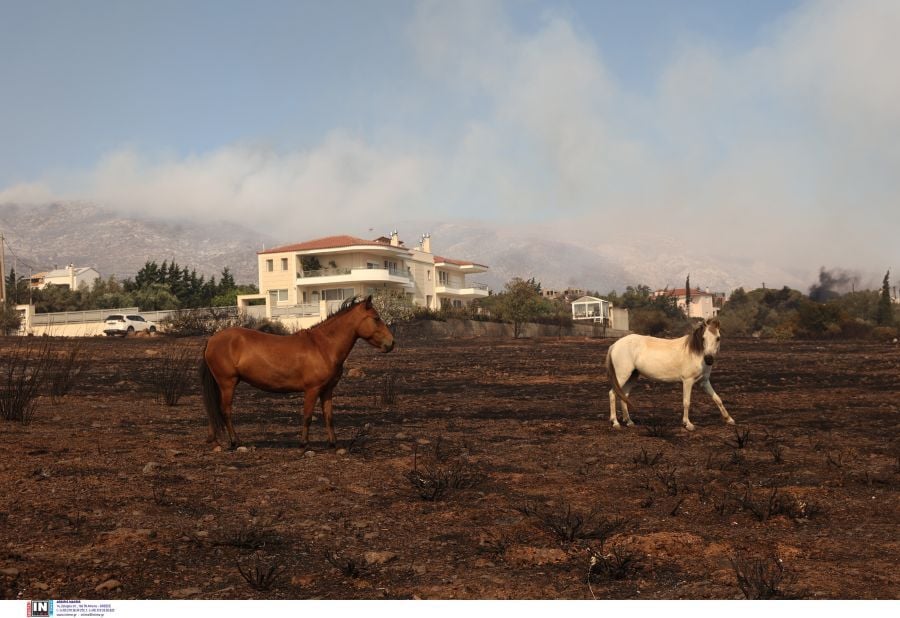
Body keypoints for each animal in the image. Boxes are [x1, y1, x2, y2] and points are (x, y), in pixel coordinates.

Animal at [200, 294, 394, 448]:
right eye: (376, 318)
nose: (391, 343)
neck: (323, 347)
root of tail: (212, 340)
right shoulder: (312, 390)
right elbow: (307, 415)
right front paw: (304, 443)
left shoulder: (327, 390)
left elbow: (329, 416)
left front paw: (333, 443)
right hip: (227, 383)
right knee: (225, 410)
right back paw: (235, 442)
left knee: (214, 410)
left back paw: (214, 439)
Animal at [604, 318, 740, 428]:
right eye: (703, 338)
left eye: (718, 338)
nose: (709, 359)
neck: (695, 353)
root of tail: (615, 345)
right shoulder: (687, 381)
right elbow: (686, 402)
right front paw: (687, 424)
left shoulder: (704, 382)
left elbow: (717, 399)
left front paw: (729, 420)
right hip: (622, 376)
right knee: (612, 393)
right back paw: (615, 422)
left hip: (633, 376)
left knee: (624, 395)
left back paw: (629, 421)